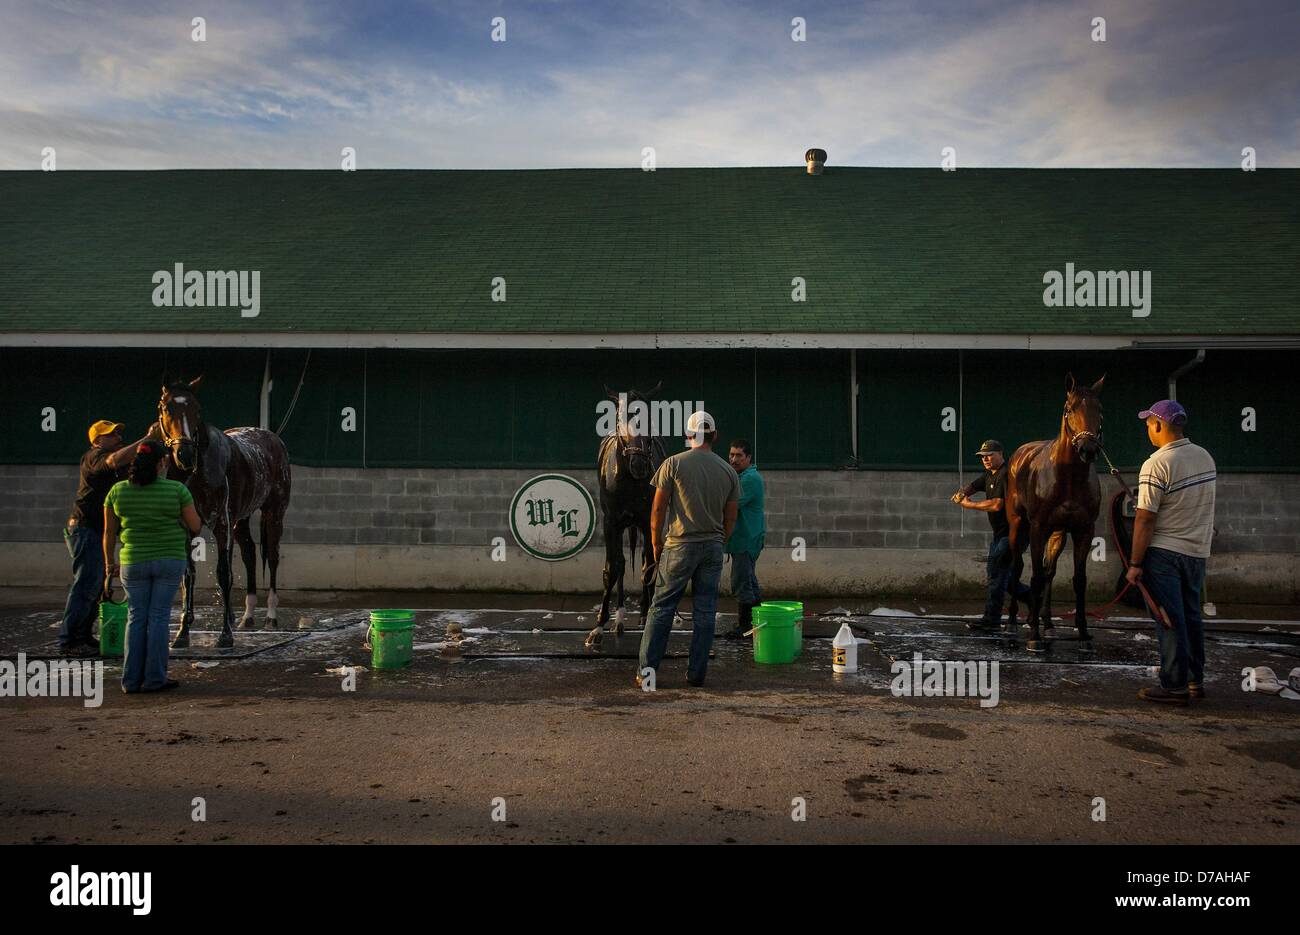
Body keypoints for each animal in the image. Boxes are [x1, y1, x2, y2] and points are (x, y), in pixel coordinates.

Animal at [157, 377, 292, 647]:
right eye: (165, 408)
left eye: (197, 409)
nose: (185, 455)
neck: (198, 471)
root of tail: (273, 438)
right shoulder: (188, 528)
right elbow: (189, 575)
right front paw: (182, 634)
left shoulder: (221, 523)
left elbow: (223, 572)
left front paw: (225, 636)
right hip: (240, 520)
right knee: (250, 554)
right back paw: (247, 616)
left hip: (273, 514)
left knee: (272, 557)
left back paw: (270, 616)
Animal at [585, 384, 665, 647]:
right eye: (620, 419)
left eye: (650, 418)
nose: (639, 465)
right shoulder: (611, 523)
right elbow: (612, 568)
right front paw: (598, 627)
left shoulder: (647, 521)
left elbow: (648, 566)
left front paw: (647, 615)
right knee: (620, 564)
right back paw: (618, 619)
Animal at [1003, 371, 1107, 650]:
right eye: (1069, 409)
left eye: (1100, 410)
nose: (1088, 449)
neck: (1068, 479)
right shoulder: (1038, 527)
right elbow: (1035, 576)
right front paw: (1034, 637)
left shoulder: (1083, 530)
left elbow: (1078, 580)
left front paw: (1083, 633)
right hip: (1018, 525)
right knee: (1018, 567)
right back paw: (1014, 621)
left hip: (1058, 533)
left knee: (1049, 571)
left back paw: (1045, 621)